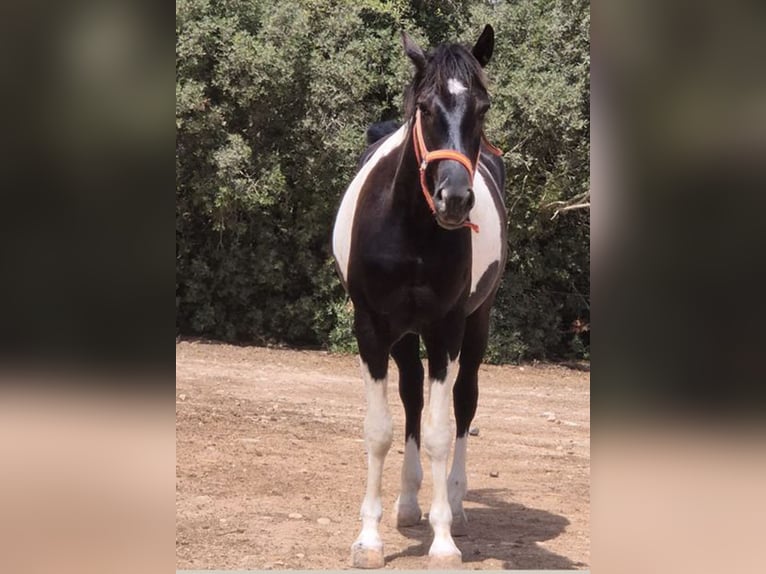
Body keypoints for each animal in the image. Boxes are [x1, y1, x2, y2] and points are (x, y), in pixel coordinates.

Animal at [331, 25, 507, 569]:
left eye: (482, 107)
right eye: (426, 107)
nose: (455, 199)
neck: (409, 227)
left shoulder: (445, 328)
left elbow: (439, 432)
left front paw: (444, 539)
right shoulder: (371, 327)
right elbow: (381, 429)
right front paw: (368, 539)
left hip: (475, 324)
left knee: (465, 403)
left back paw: (454, 505)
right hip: (404, 336)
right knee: (409, 397)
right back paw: (409, 504)